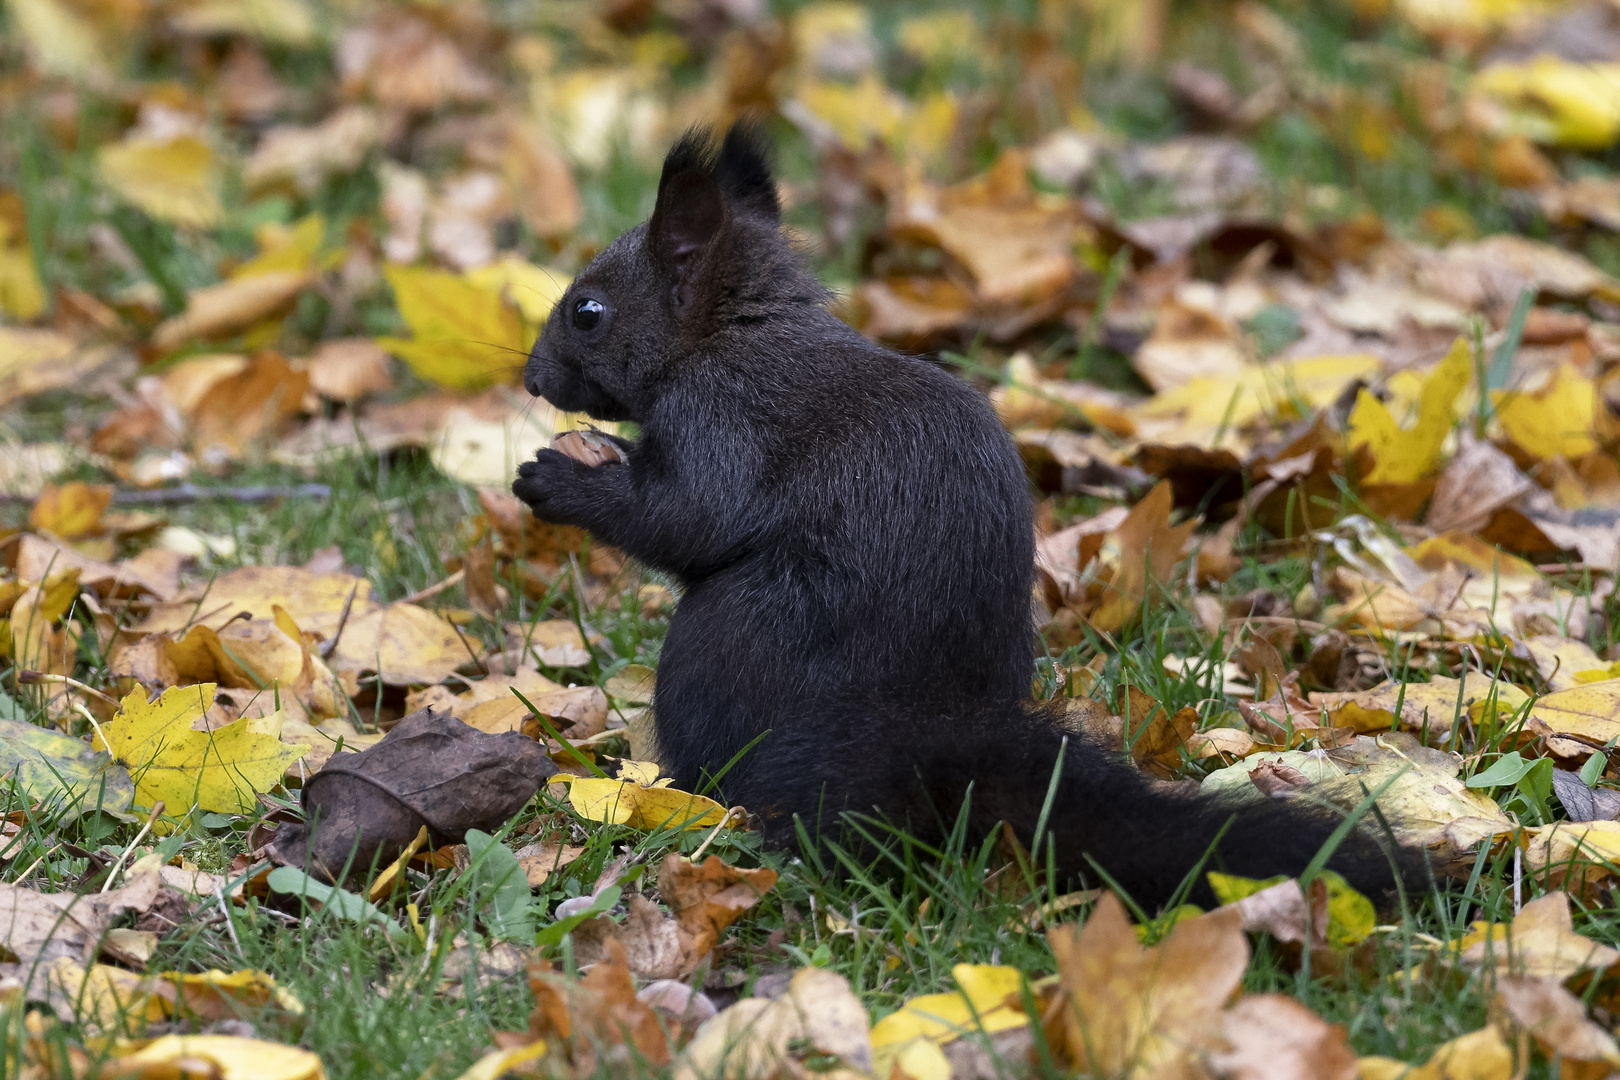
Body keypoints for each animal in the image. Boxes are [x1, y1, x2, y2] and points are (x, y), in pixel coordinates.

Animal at [511, 124, 1412, 913]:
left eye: (588, 311)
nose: (530, 378)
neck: (732, 333)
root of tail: (931, 724)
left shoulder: (723, 419)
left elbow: (688, 518)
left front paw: (558, 479)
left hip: (720, 645)